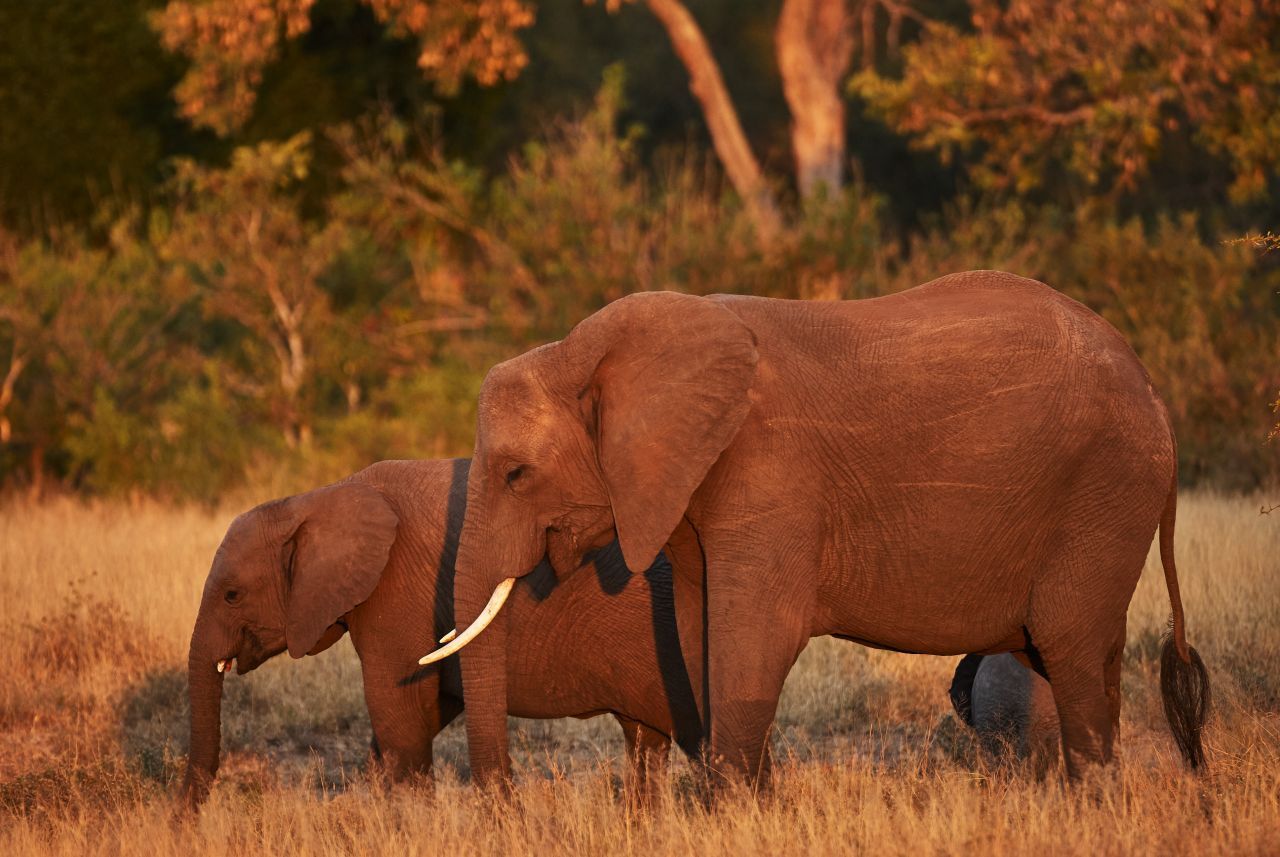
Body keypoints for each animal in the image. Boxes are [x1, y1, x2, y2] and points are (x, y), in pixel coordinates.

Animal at [177, 460, 701, 808]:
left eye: (231, 595)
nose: (184, 825)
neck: (320, 499)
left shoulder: (397, 594)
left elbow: (401, 720)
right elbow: (418, 719)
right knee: (645, 743)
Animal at [419, 272, 1208, 787]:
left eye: (516, 474)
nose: (506, 799)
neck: (587, 351)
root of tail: (1155, 390)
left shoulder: (771, 476)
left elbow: (752, 640)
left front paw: (736, 811)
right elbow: (697, 636)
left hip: (1105, 488)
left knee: (1069, 648)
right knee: (1079, 657)